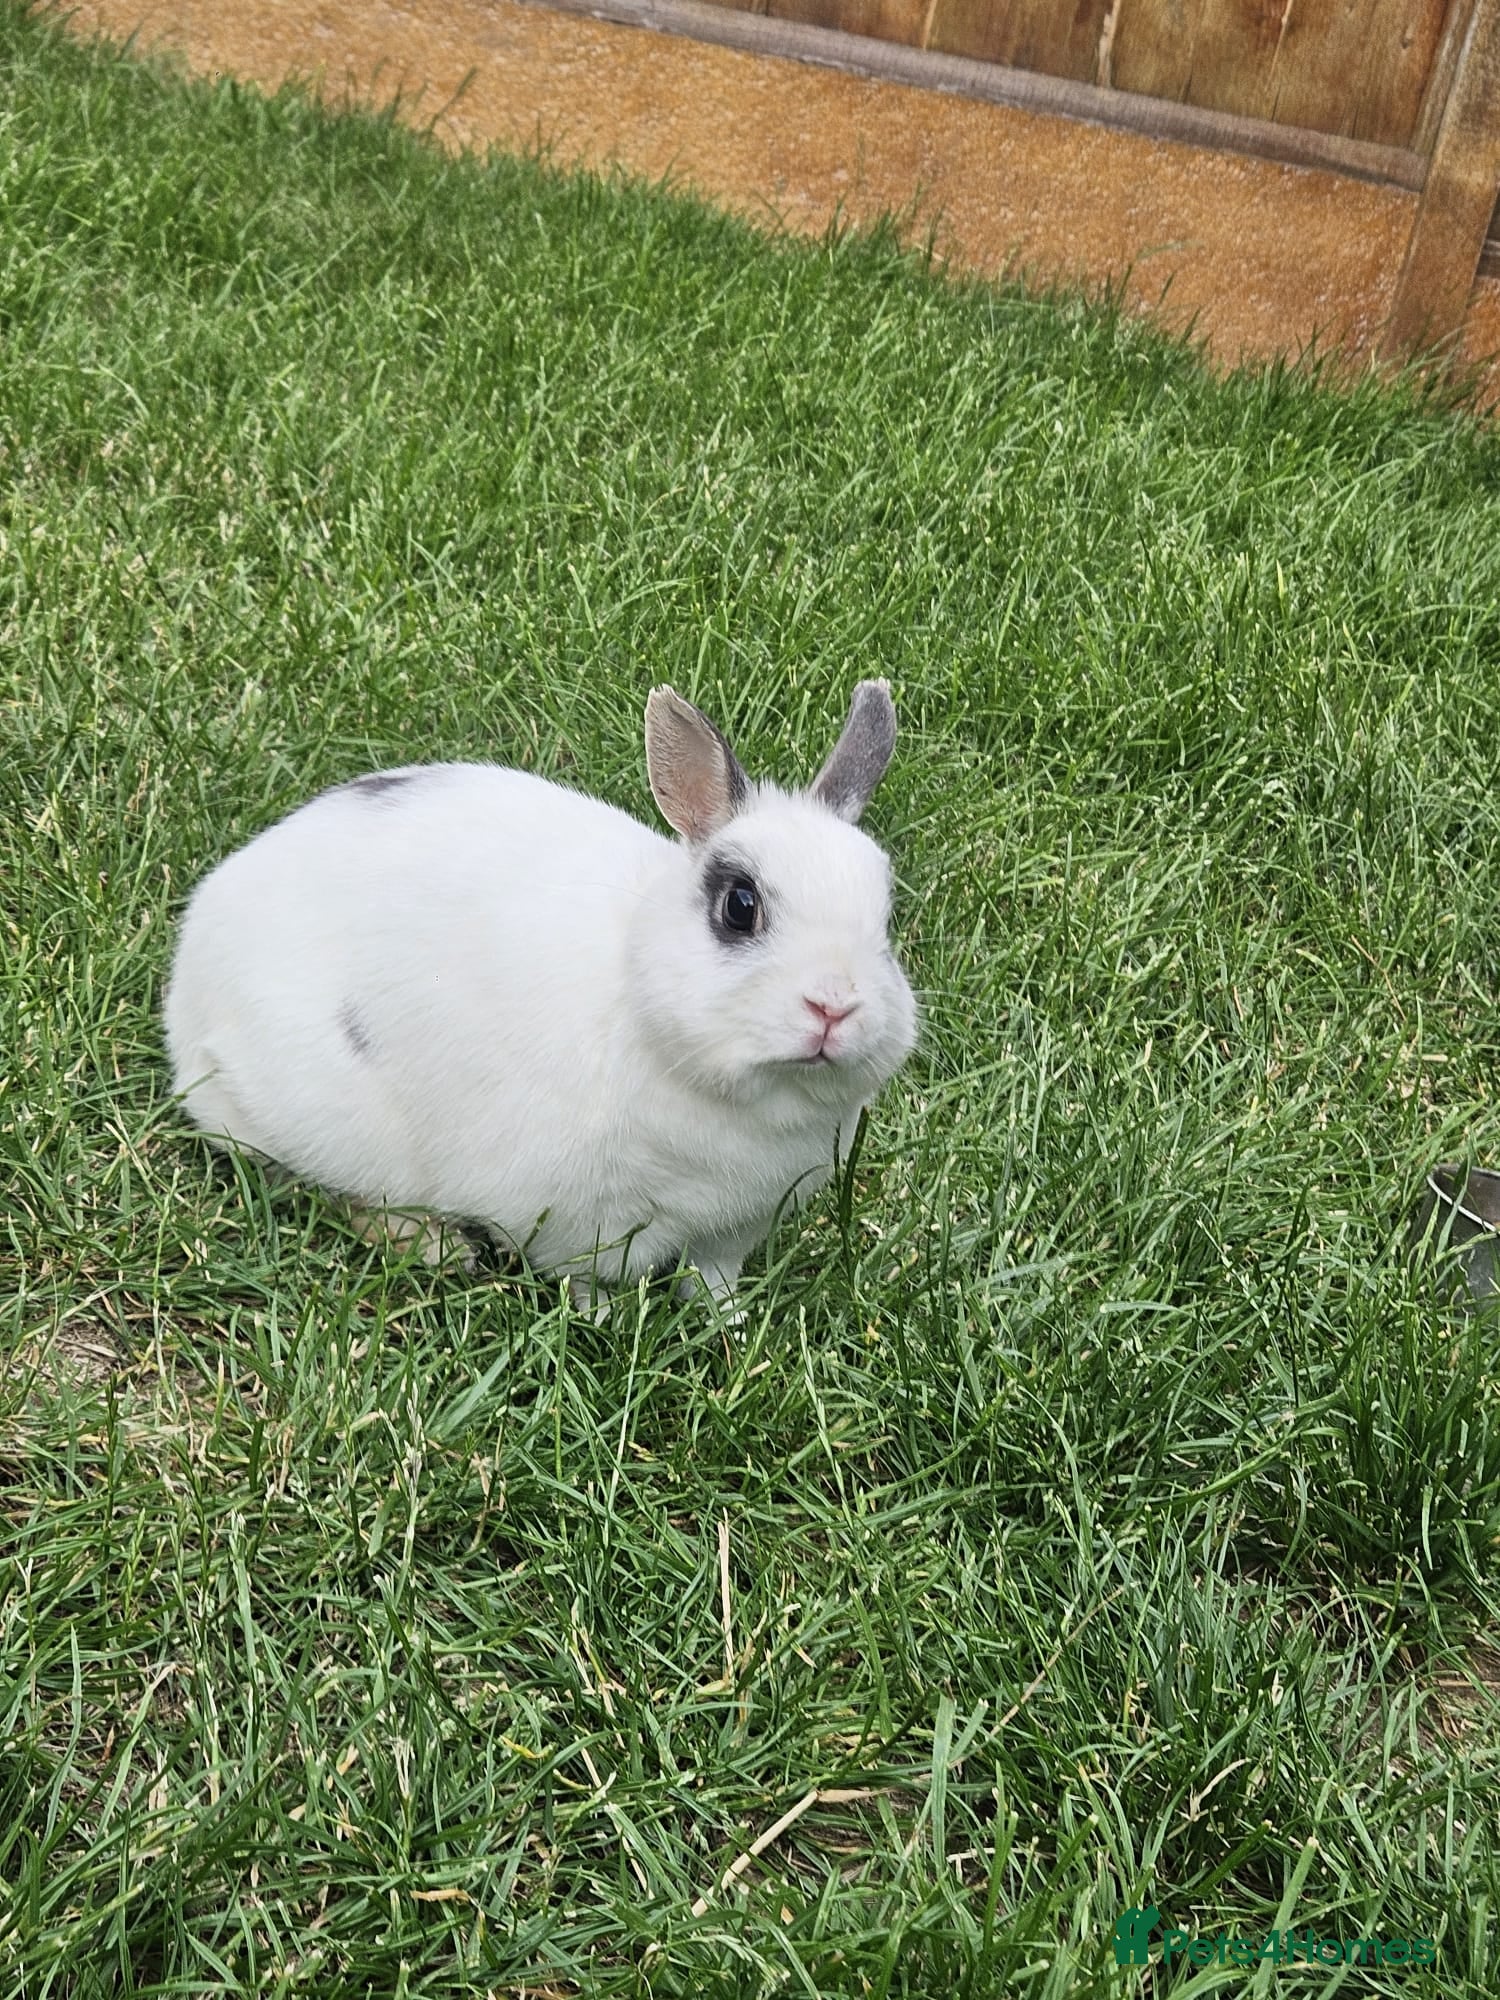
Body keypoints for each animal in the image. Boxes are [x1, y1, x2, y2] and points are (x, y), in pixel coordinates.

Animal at [163, 680, 919, 1312]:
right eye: (740, 906)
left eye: (885, 921)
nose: (835, 1006)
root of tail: (187, 984)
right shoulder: (586, 1227)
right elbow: (591, 1285)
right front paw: (608, 1325)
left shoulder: (737, 1228)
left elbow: (714, 1282)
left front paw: (729, 1325)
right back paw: (433, 1245)